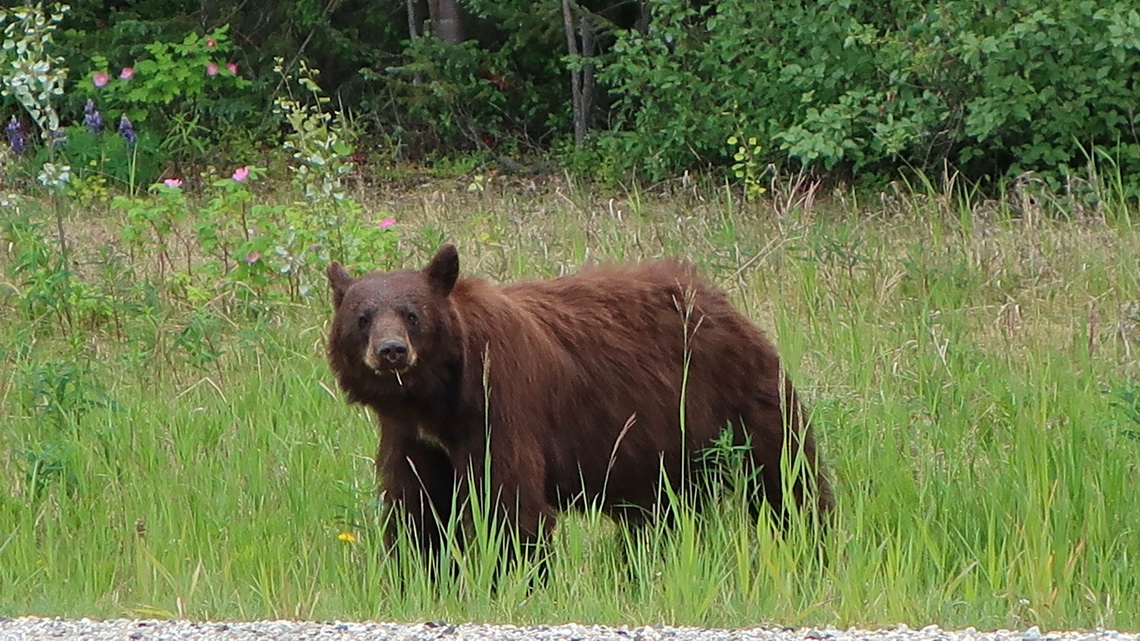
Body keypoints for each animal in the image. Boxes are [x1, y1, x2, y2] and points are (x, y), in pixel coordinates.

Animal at [326, 242, 834, 554]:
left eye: (413, 314)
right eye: (362, 317)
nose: (392, 351)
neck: (439, 401)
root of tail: (721, 300)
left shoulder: (500, 406)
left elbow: (510, 502)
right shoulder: (411, 436)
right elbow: (414, 506)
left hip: (738, 398)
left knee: (786, 477)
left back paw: (811, 544)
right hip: (665, 448)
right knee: (661, 517)